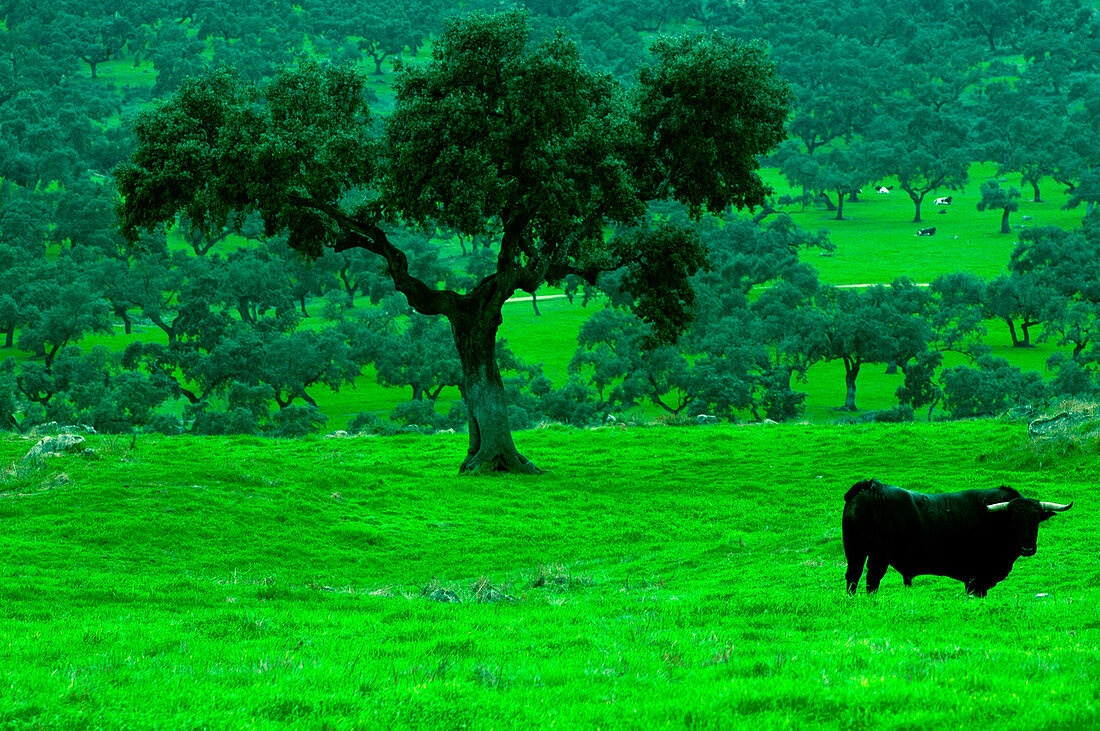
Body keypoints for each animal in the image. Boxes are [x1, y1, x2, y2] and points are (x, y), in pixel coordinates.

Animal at [840, 479, 1073, 593]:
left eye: (1036, 520)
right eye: (1013, 520)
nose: (1027, 548)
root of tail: (872, 486)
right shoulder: (976, 578)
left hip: (856, 551)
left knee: (853, 577)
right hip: (877, 555)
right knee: (870, 580)